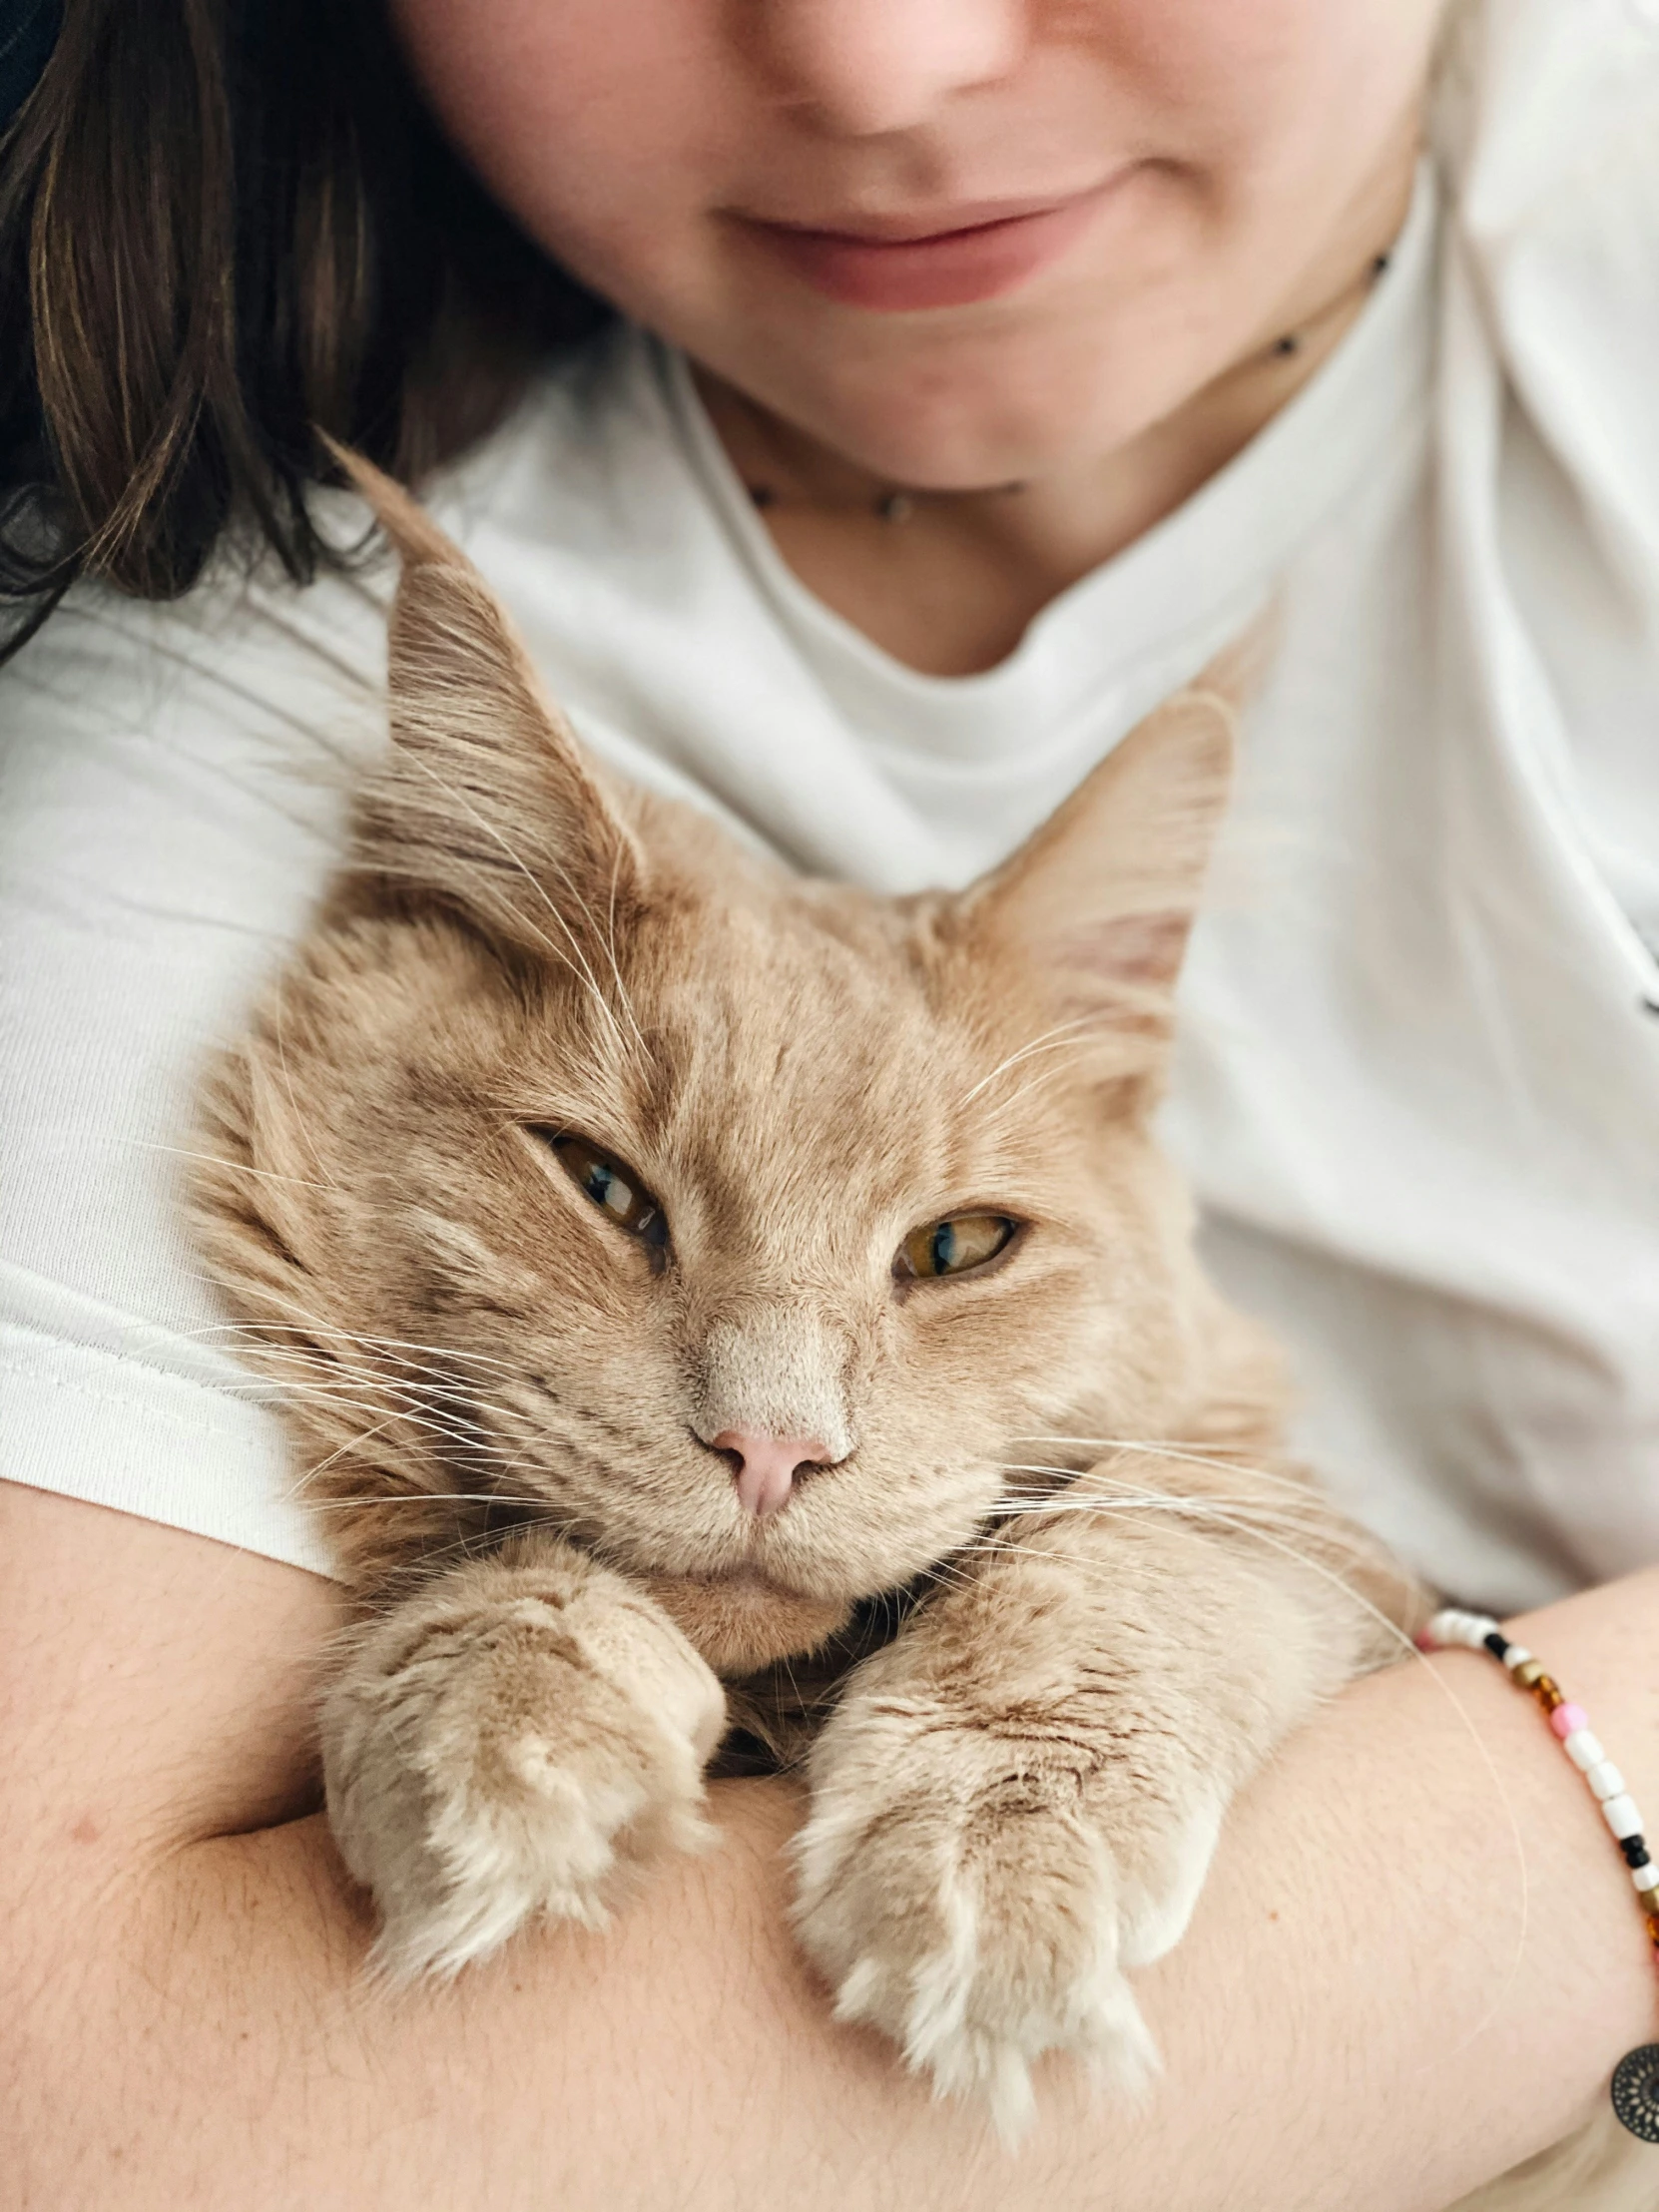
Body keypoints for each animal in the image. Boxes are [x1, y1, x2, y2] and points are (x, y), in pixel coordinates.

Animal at [191, 453, 1636, 2194]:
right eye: (604, 1187)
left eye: (956, 1248)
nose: (770, 1449)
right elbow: (517, 1550)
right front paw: (504, 1721)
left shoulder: (1317, 1539)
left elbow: (1103, 1562)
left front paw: (982, 1862)